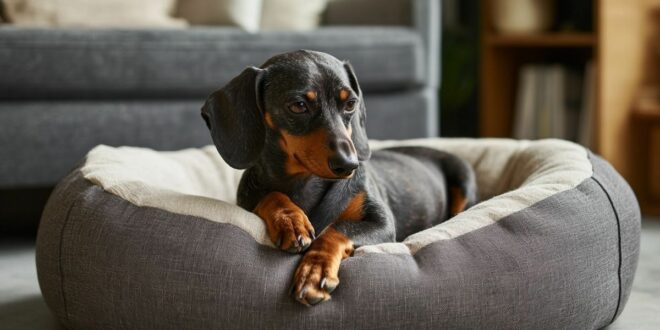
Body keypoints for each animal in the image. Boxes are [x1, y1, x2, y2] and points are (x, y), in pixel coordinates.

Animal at [200, 50, 474, 306]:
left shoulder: (382, 223)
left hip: (464, 179)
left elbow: (337, 229)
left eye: (351, 103)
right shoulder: (249, 197)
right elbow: (272, 196)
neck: (304, 184)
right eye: (298, 105)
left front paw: (315, 272)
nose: (349, 164)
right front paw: (291, 221)